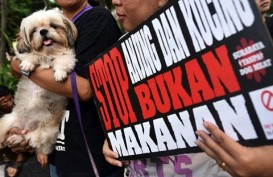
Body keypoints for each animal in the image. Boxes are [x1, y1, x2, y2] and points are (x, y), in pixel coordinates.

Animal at [0, 9, 77, 165]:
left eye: (53, 26)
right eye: (34, 30)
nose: (43, 31)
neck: (47, 53)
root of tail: (24, 125)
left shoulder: (68, 56)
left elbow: (62, 61)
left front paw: (59, 73)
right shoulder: (26, 54)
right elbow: (30, 55)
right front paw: (27, 64)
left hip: (44, 133)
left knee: (29, 139)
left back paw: (16, 138)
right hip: (6, 121)